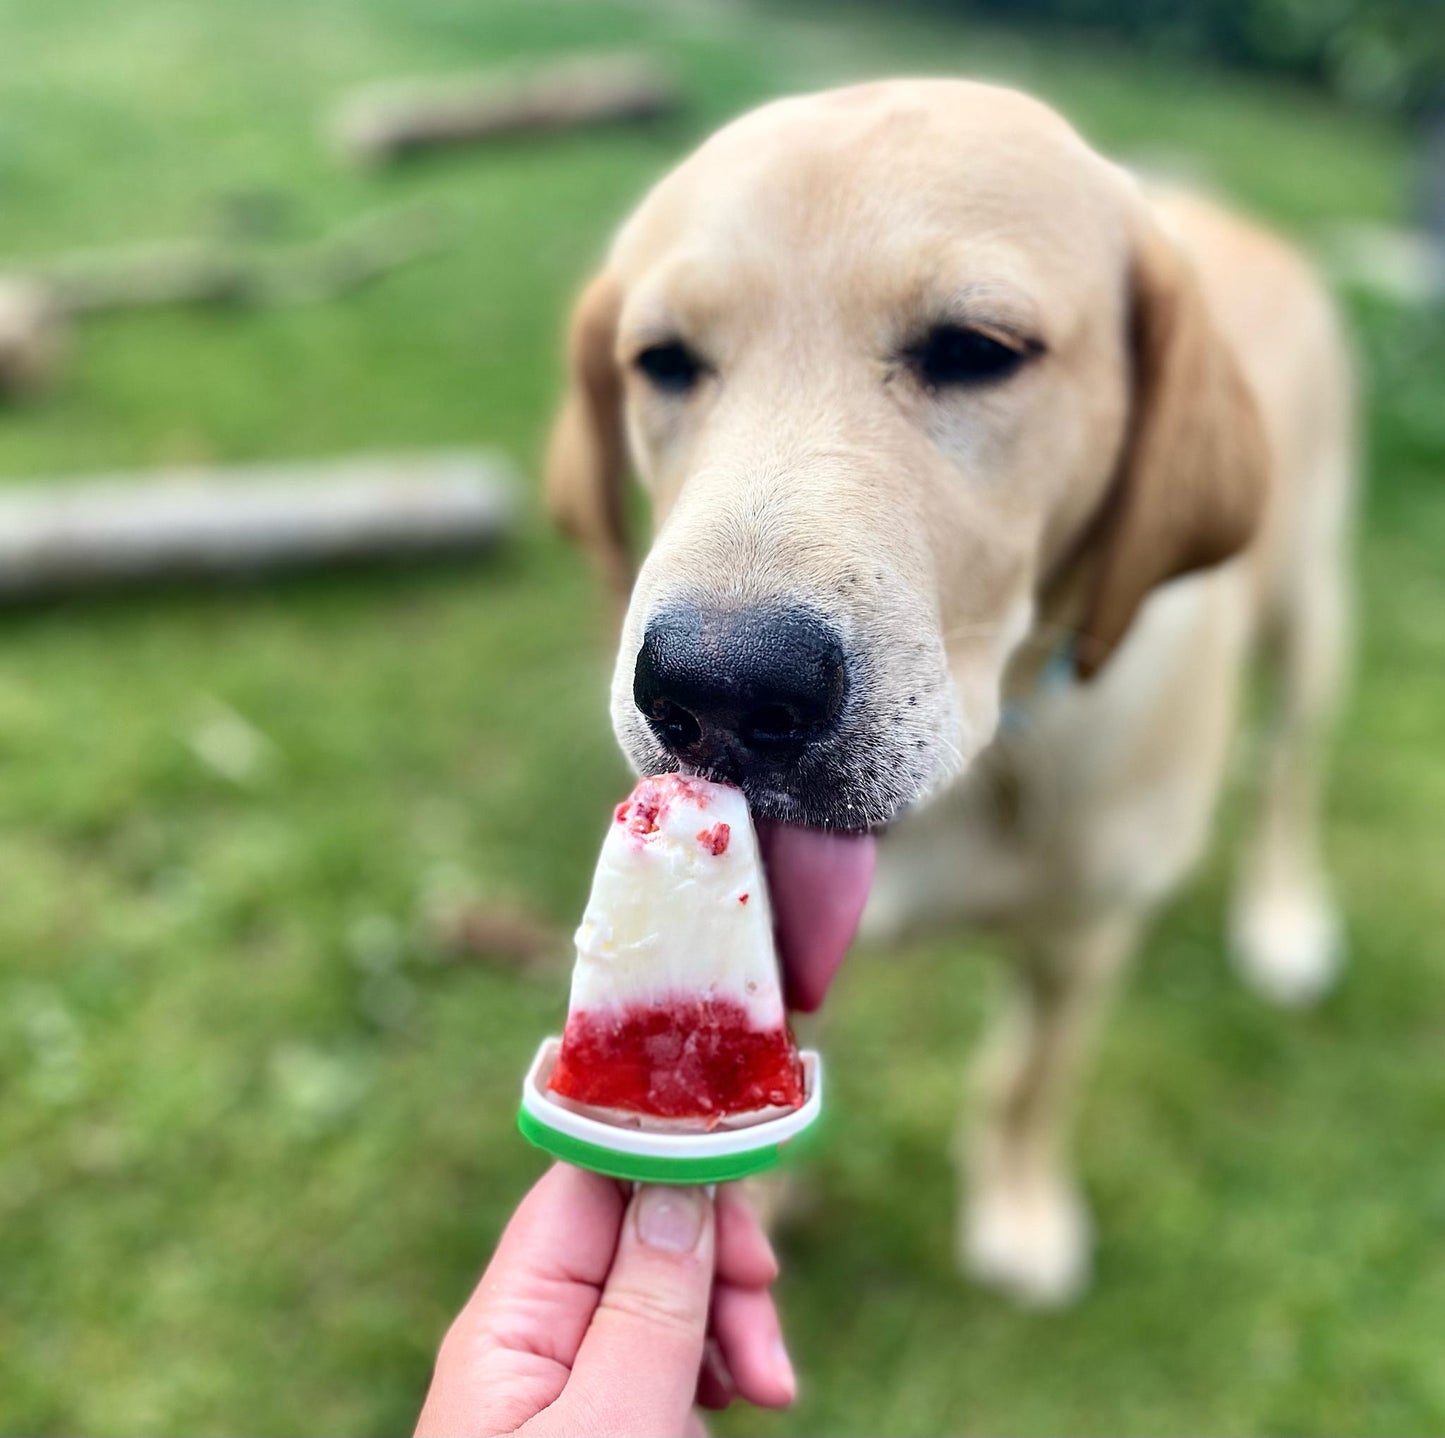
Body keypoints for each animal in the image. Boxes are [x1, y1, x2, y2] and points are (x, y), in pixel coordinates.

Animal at [543, 84, 1352, 1312]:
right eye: (663, 362)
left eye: (976, 351)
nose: (718, 692)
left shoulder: (1083, 936)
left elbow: (1028, 1079)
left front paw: (1017, 1210)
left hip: (1309, 609)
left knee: (1290, 767)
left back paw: (1284, 915)